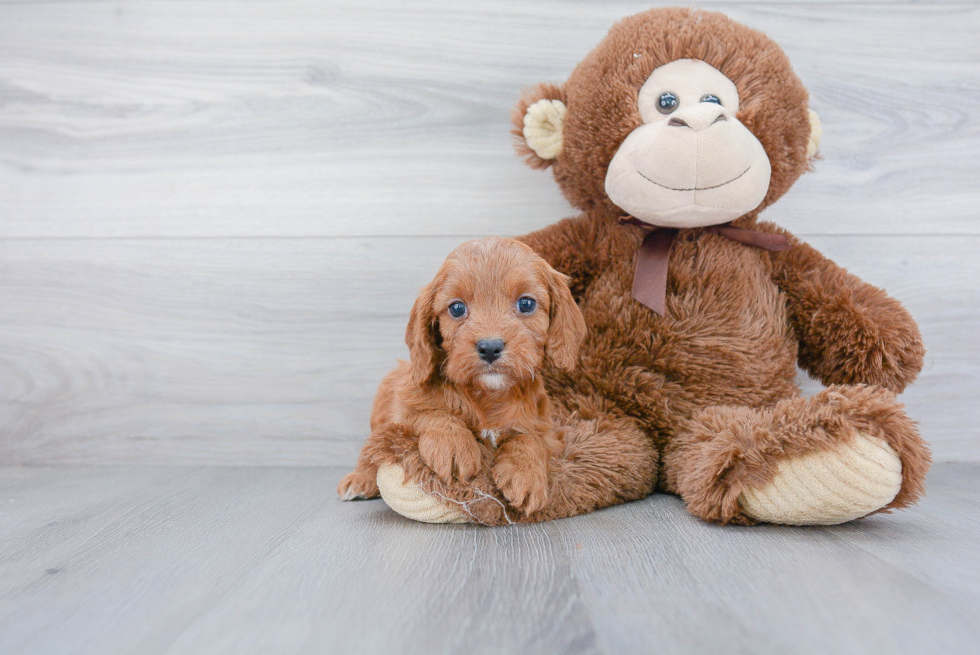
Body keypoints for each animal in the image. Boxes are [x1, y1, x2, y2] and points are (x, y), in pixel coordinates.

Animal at [338, 237, 580, 516]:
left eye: (526, 304)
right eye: (456, 308)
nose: (490, 347)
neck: (487, 394)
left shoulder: (548, 431)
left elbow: (530, 438)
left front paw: (526, 474)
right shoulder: (402, 408)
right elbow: (430, 412)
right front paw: (453, 445)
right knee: (371, 450)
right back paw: (360, 479)